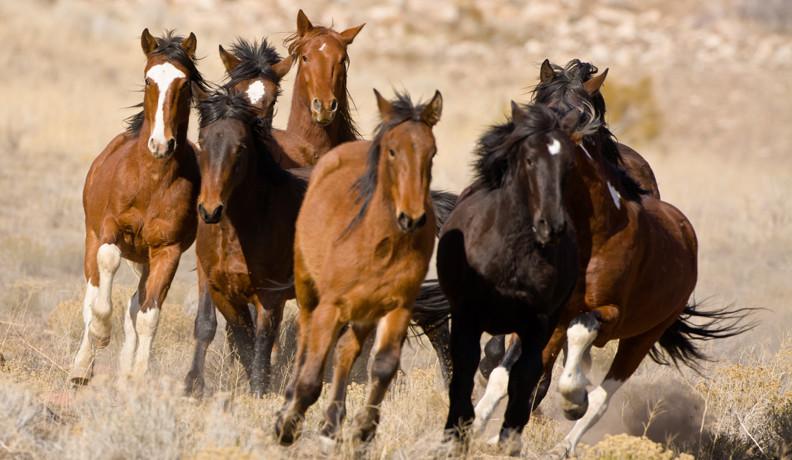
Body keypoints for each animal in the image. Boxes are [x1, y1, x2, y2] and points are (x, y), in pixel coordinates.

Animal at [70, 30, 208, 385]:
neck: (151, 181)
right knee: (91, 293)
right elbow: (106, 272)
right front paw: (101, 334)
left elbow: (147, 315)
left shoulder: (167, 250)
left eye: (184, 82)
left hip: (144, 258)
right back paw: (81, 367)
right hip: (91, 236)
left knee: (134, 304)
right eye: (148, 80)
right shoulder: (110, 230)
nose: (161, 144)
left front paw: (137, 376)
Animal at [183, 84, 308, 397]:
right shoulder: (221, 290)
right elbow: (240, 338)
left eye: (240, 147)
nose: (210, 210)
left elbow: (262, 341)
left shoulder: (270, 294)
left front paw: (259, 391)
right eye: (202, 141)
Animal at [275, 89, 443, 446]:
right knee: (305, 342)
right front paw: (287, 425)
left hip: (365, 311)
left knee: (346, 350)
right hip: (308, 288)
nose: (412, 218)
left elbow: (382, 366)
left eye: (431, 152)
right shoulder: (330, 306)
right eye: (392, 151)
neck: (379, 242)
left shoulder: (398, 305)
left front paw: (363, 430)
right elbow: (312, 373)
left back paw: (332, 423)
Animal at [429, 102, 580, 453]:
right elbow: (464, 371)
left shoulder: (539, 324)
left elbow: (525, 378)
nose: (551, 225)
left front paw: (509, 440)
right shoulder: (467, 317)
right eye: (530, 159)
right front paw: (458, 433)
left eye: (569, 162)